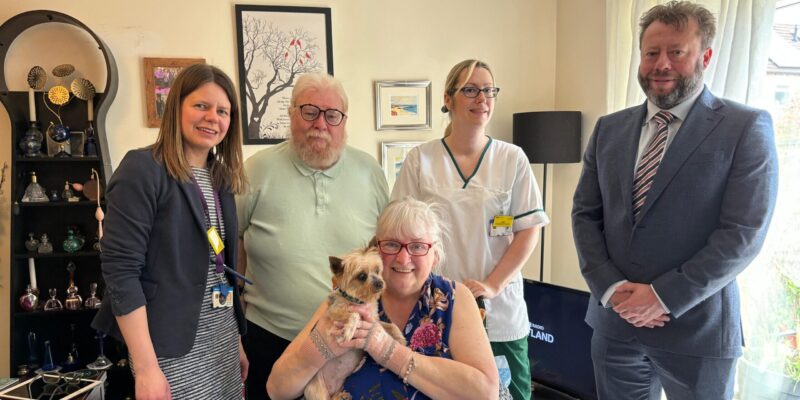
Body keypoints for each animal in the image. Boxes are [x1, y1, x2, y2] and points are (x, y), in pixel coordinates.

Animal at [306, 244, 406, 400]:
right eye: (362, 276)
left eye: (377, 270)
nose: (380, 283)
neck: (360, 300)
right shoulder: (334, 312)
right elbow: (355, 314)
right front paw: (349, 331)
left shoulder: (374, 321)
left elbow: (391, 325)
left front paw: (401, 340)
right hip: (317, 392)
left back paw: (341, 396)